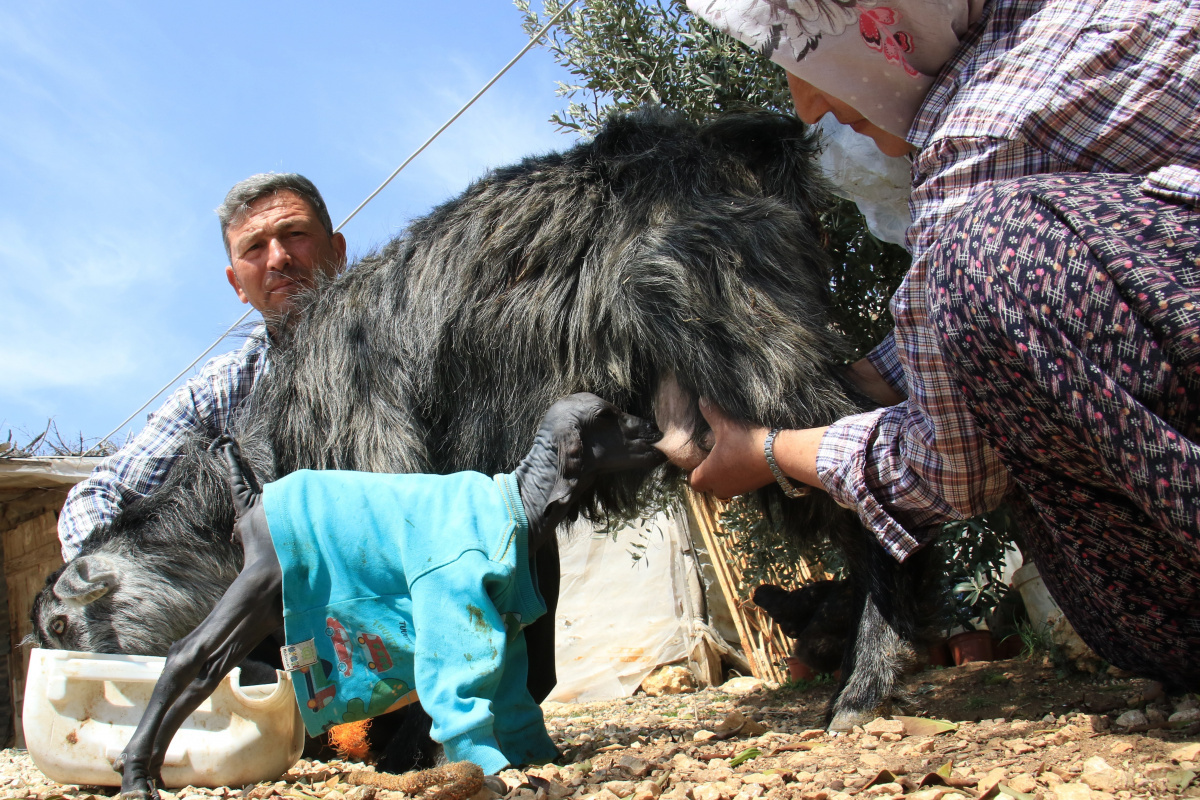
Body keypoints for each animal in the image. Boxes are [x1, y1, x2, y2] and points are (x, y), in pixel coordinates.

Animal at [115, 393, 662, 796]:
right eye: (608, 416)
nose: (657, 430)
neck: (520, 500)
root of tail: (251, 499)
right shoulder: (451, 592)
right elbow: (462, 688)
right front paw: (491, 767)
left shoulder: (504, 620)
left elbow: (516, 689)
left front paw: (539, 757)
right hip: (258, 580)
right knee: (186, 654)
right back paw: (135, 775)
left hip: (268, 602)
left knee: (210, 669)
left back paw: (150, 769)